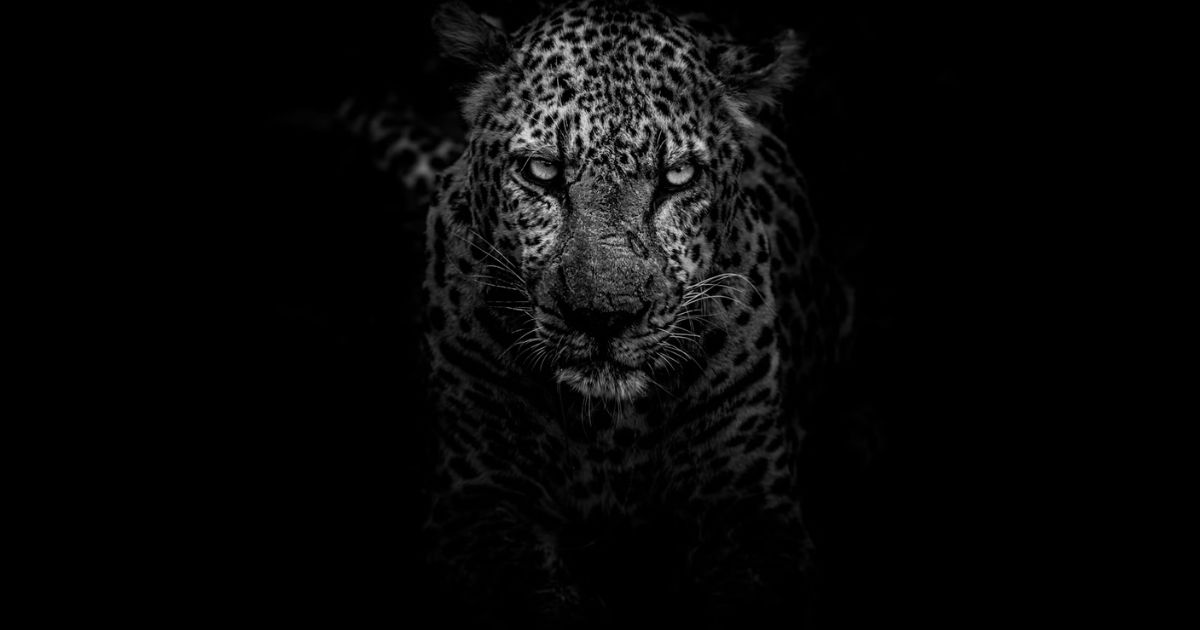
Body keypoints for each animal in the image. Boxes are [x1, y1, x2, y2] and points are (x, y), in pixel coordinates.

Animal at [347, 0, 856, 625]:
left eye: (678, 177)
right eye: (542, 171)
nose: (604, 317)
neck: (611, 430)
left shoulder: (753, 509)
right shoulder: (476, 500)